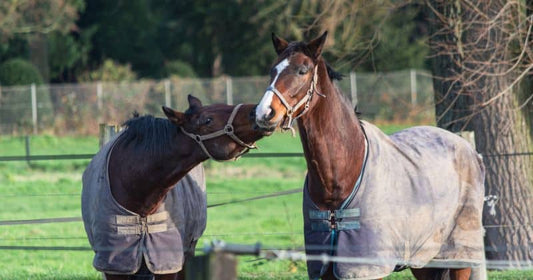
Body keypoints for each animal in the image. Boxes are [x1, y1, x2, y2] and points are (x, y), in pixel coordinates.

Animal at [256, 32, 484, 280]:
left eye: (302, 70)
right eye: (272, 70)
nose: (264, 113)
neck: (340, 176)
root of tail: (468, 148)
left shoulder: (368, 268)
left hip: (458, 254)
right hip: (423, 259)